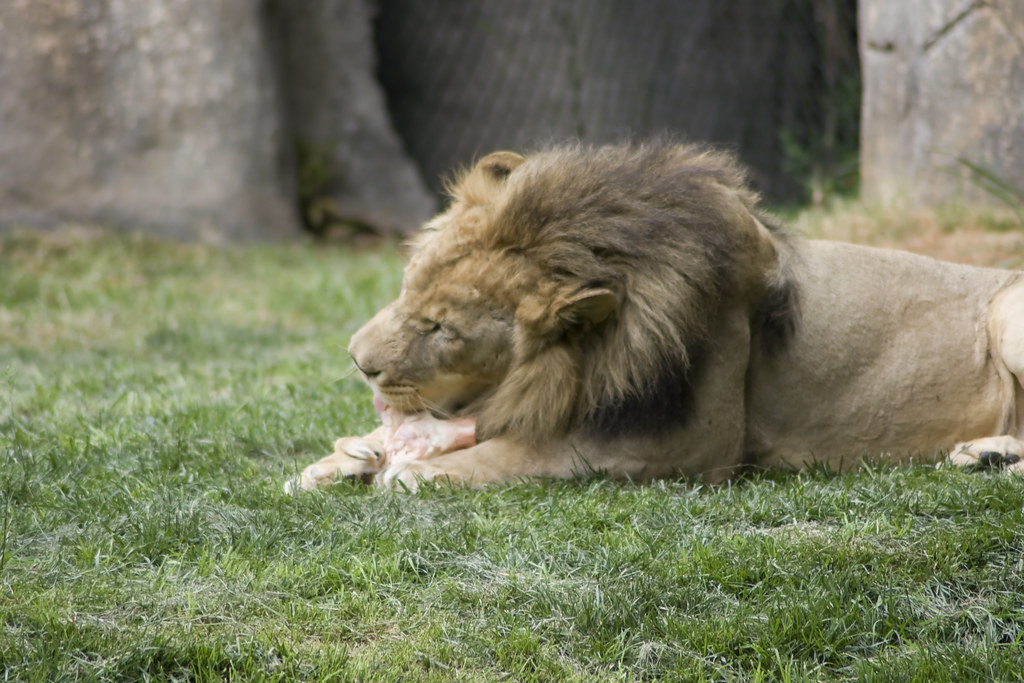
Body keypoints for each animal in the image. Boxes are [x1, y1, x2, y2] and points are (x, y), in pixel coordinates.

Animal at [291, 141, 1024, 492]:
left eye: (441, 329)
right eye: (405, 286)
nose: (356, 361)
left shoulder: (689, 444)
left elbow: (526, 455)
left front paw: (415, 471)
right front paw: (342, 459)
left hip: (1009, 315)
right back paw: (982, 453)